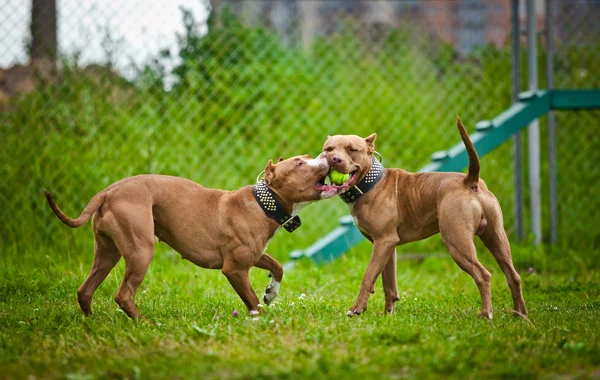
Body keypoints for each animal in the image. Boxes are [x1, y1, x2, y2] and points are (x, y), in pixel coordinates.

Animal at [46, 154, 338, 318]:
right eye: (300, 163)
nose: (330, 156)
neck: (263, 203)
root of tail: (108, 191)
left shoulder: (254, 255)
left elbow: (277, 267)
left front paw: (271, 293)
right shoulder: (234, 269)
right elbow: (251, 300)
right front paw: (263, 317)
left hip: (107, 253)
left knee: (85, 290)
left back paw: (91, 323)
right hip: (140, 250)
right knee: (124, 294)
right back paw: (143, 322)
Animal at [322, 118, 528, 318]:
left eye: (352, 149)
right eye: (328, 149)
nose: (334, 159)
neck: (371, 183)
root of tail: (470, 181)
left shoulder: (384, 241)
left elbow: (368, 276)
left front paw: (357, 309)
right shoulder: (386, 245)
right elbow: (388, 283)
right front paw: (388, 315)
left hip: (457, 242)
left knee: (483, 275)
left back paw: (486, 314)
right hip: (497, 239)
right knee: (513, 276)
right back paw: (520, 315)